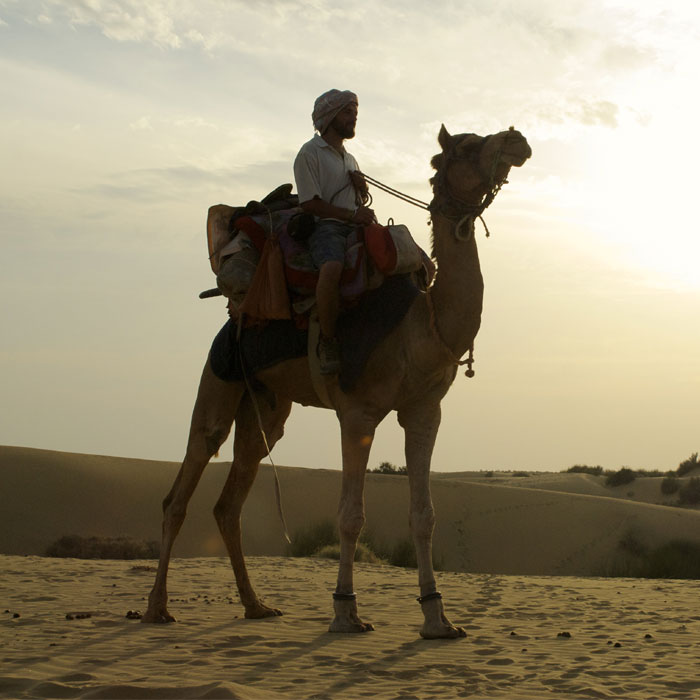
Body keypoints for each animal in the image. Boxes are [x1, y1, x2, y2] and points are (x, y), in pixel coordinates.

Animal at [145, 123, 532, 636]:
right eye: (468, 145)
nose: (517, 139)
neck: (421, 327)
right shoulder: (358, 412)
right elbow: (350, 516)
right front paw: (346, 610)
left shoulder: (424, 410)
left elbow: (424, 516)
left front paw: (437, 618)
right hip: (219, 373)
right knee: (185, 481)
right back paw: (156, 607)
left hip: (265, 405)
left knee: (232, 497)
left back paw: (256, 605)